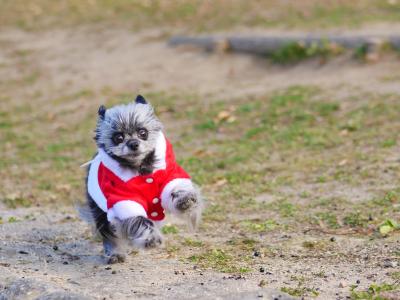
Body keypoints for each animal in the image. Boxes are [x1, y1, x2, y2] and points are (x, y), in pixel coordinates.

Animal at [85, 95, 203, 264]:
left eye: (143, 132)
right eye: (118, 137)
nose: (133, 143)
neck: (142, 170)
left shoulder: (169, 178)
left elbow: (176, 189)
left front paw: (185, 200)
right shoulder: (125, 201)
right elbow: (140, 221)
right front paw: (151, 239)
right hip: (102, 213)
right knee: (110, 235)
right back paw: (115, 253)